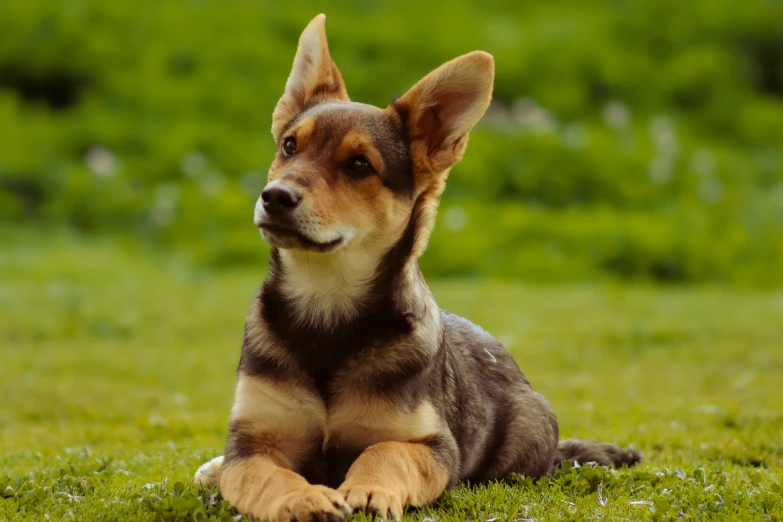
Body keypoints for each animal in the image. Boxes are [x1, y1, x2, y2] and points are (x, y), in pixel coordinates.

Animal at [193, 14, 640, 516]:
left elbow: (385, 451)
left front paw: (370, 488)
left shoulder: (429, 443)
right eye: (289, 146)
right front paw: (300, 497)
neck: (326, 304)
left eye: (359, 165)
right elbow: (265, 476)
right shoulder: (252, 441)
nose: (274, 197)